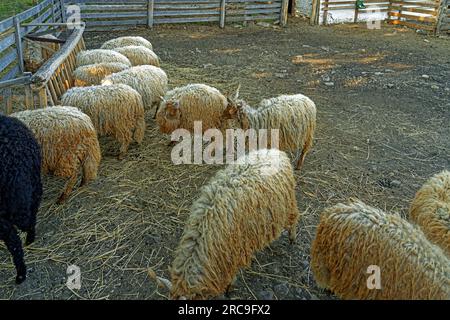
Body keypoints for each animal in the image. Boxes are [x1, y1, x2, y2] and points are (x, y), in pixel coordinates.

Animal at [168, 149, 298, 298]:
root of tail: (276, 152)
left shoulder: (234, 251)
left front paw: (230, 287)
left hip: (288, 205)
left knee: (294, 219)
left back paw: (292, 238)